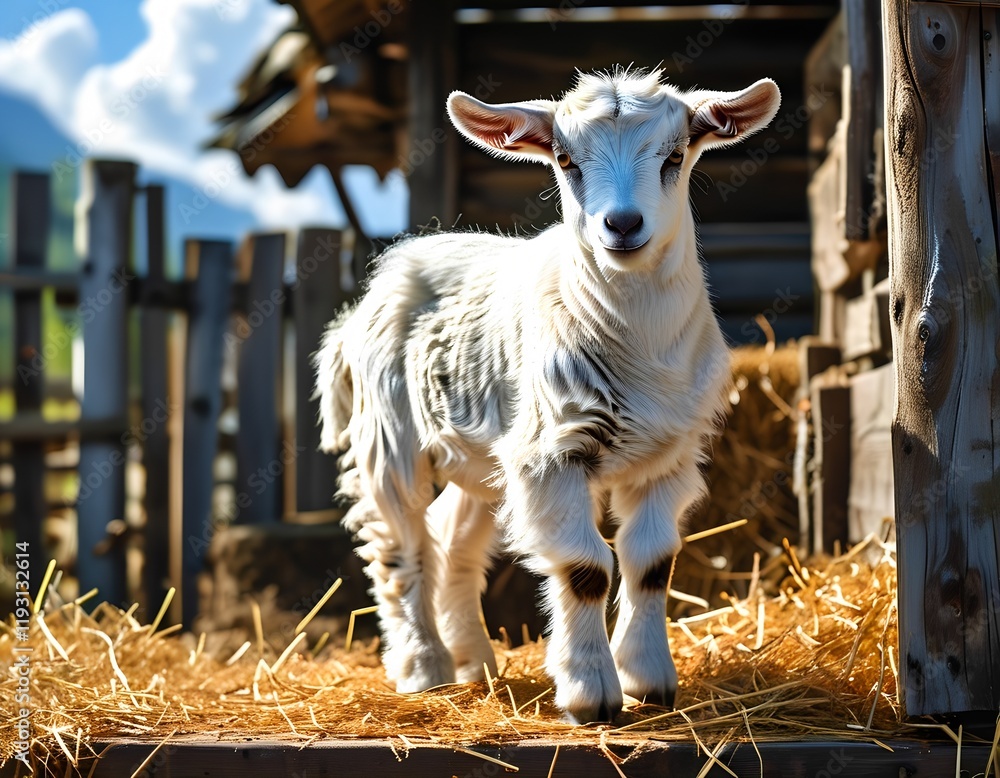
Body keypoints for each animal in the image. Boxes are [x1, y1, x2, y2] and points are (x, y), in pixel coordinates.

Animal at [316, 68, 780, 723]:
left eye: (675, 155)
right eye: (565, 159)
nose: (622, 225)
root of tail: (366, 302)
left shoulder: (667, 458)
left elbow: (649, 562)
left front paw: (650, 682)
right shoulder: (551, 452)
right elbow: (587, 566)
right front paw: (592, 694)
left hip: (483, 459)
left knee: (452, 542)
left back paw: (474, 662)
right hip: (389, 435)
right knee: (398, 544)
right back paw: (424, 668)